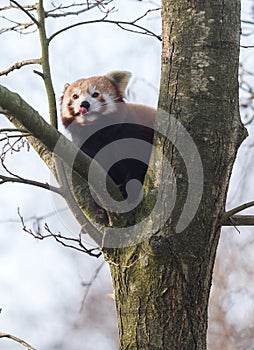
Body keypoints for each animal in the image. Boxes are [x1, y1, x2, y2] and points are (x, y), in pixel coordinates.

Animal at [60, 71, 155, 201]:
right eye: (75, 96)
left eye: (95, 94)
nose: (84, 104)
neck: (96, 130)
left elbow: (137, 162)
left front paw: (129, 189)